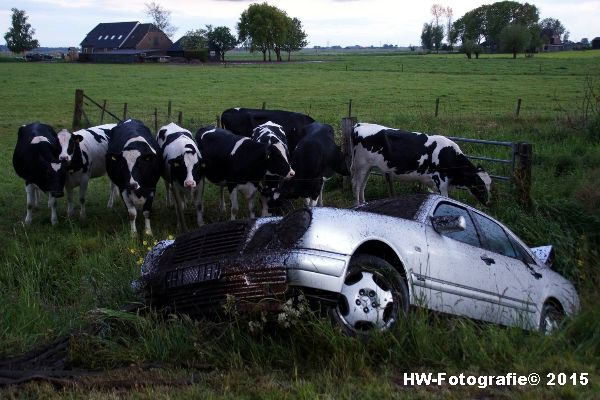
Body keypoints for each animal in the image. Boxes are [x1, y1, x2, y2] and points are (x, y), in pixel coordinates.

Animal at [350, 122, 490, 206]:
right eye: (480, 186)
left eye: (489, 185)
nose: (488, 203)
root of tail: (359, 124)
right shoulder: (440, 182)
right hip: (361, 166)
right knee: (356, 186)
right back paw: (357, 205)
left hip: (368, 167)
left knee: (362, 185)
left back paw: (363, 203)